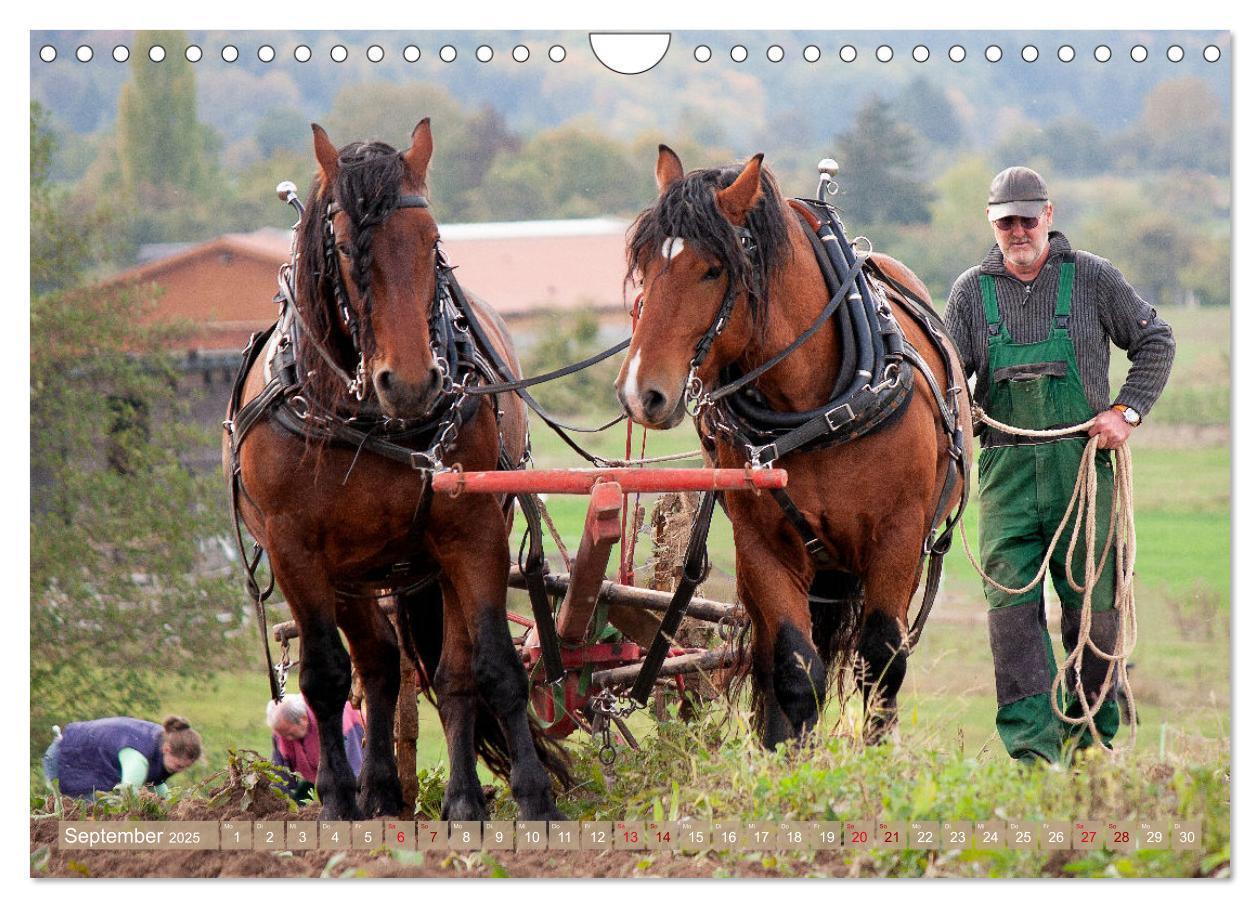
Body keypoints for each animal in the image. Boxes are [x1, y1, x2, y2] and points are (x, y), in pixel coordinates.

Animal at [224, 120, 569, 821]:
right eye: (343, 246)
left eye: (432, 239)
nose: (411, 383)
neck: (369, 418)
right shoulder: (295, 549)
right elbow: (325, 676)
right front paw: (336, 800)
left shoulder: (472, 531)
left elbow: (493, 667)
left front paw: (534, 798)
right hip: (353, 576)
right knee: (377, 665)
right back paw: (378, 791)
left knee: (449, 672)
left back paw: (461, 800)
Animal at [614, 146, 967, 745]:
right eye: (644, 262)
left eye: (713, 269)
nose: (642, 393)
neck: (817, 408)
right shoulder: (763, 547)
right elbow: (794, 672)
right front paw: (788, 760)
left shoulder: (898, 538)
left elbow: (880, 667)